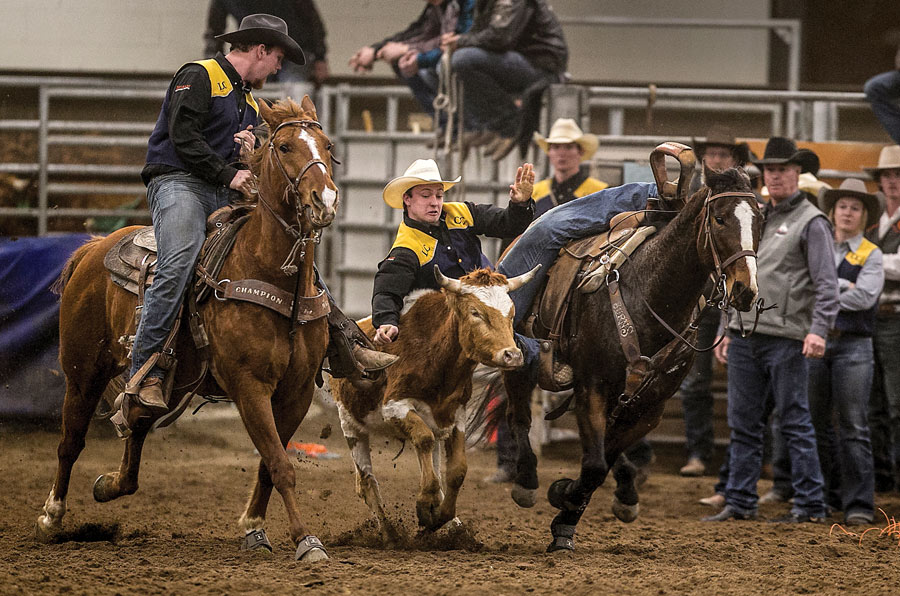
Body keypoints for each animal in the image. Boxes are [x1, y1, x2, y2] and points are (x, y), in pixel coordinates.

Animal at [36, 96, 342, 564]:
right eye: (285, 146)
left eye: (327, 146)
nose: (323, 199)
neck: (271, 274)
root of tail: (92, 248)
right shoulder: (250, 387)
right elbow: (281, 464)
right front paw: (307, 541)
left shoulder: (298, 392)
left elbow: (268, 464)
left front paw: (254, 527)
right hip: (82, 370)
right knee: (70, 440)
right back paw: (52, 515)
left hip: (166, 381)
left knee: (136, 426)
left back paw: (109, 485)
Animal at [492, 169, 760, 556]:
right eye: (720, 218)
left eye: (760, 220)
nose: (745, 289)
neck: (648, 294)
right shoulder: (592, 386)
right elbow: (592, 465)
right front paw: (562, 503)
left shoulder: (650, 406)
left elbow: (601, 462)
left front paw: (568, 511)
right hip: (519, 365)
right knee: (519, 417)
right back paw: (526, 481)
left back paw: (626, 490)